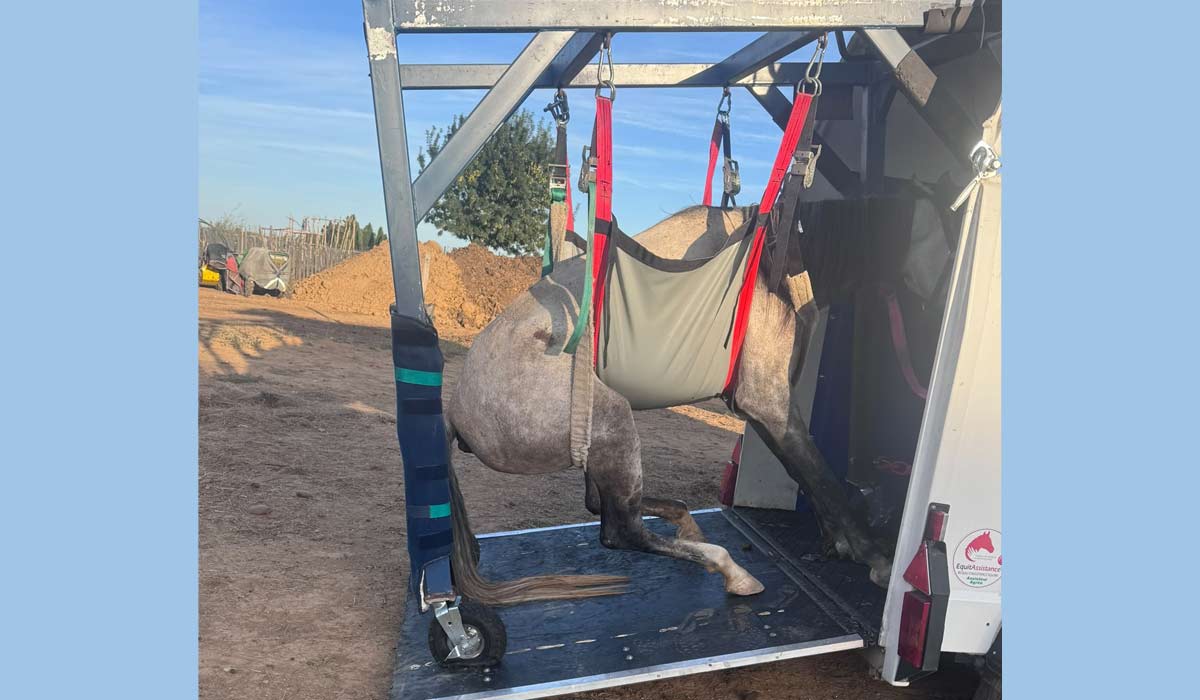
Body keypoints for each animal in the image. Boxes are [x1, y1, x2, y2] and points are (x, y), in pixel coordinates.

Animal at [444, 201, 926, 605]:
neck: (776, 257)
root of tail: (457, 413)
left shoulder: (763, 412)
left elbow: (804, 472)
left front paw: (839, 541)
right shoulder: (768, 401)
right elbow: (821, 474)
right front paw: (876, 557)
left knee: (604, 506)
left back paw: (690, 528)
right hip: (613, 420)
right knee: (620, 530)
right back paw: (730, 569)